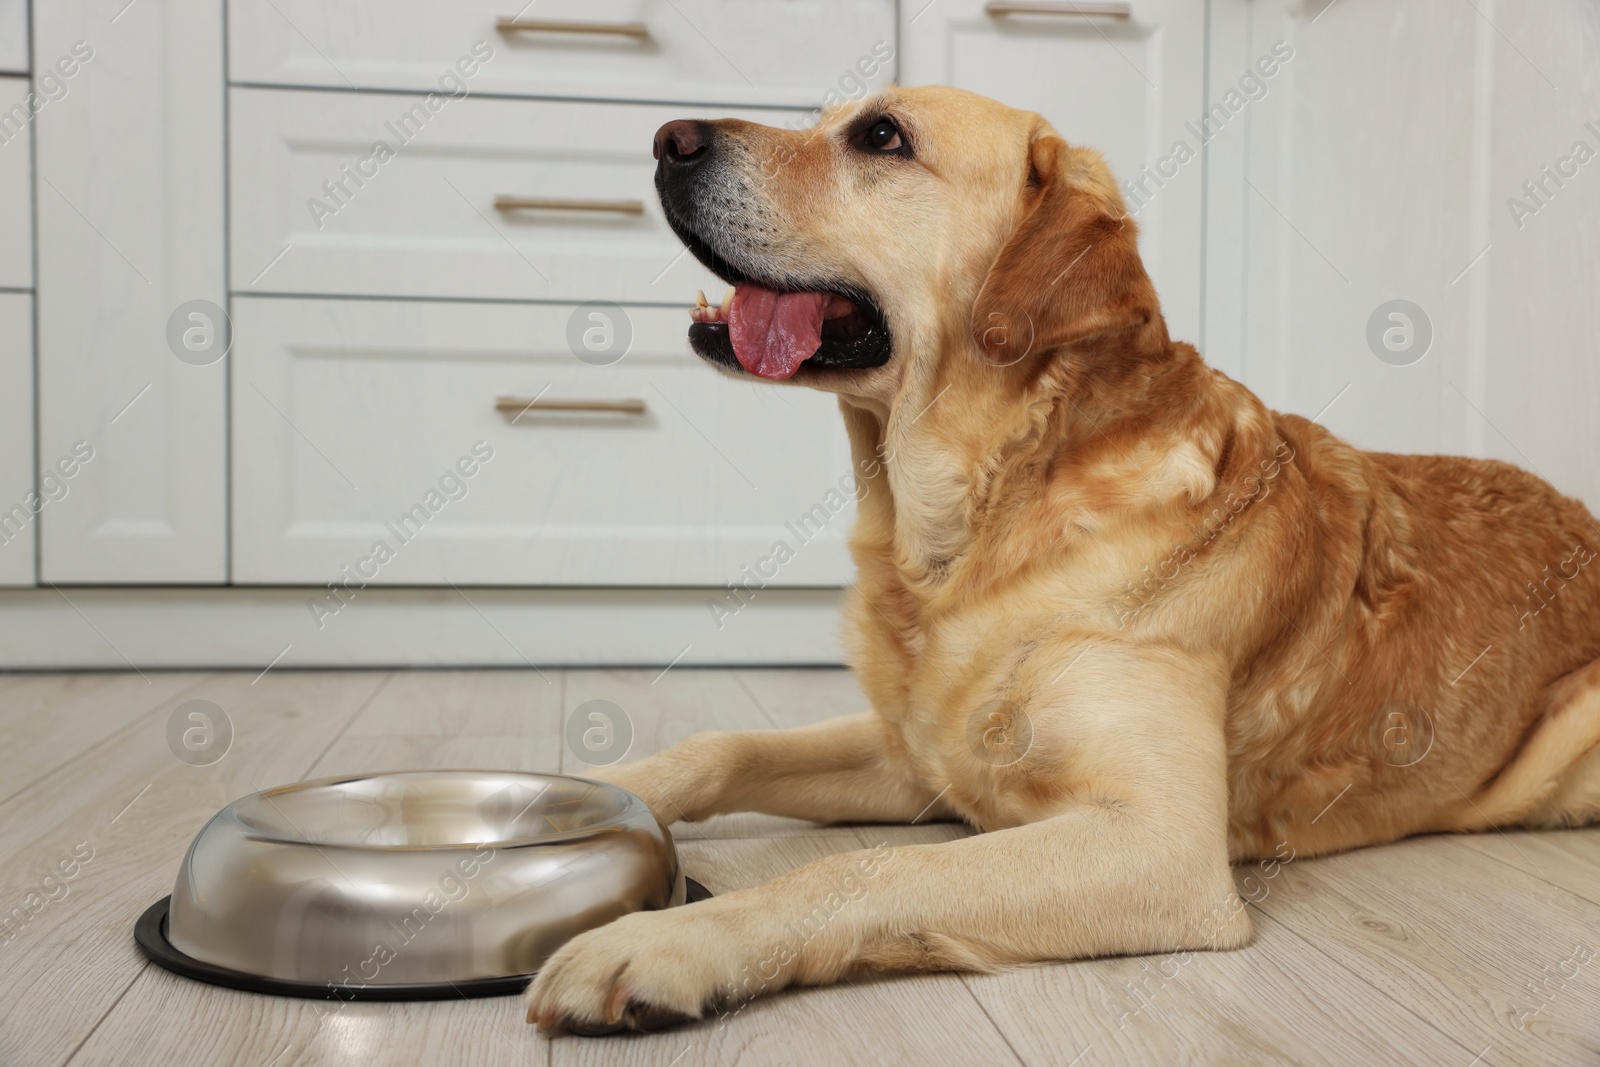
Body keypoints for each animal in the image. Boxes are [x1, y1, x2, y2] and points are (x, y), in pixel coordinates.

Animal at [524, 83, 1600, 1036]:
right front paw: (600, 785)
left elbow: (870, 867)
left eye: (881, 136)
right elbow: (723, 746)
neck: (984, 519)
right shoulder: (920, 758)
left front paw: (667, 941)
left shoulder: (1161, 844)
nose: (666, 138)